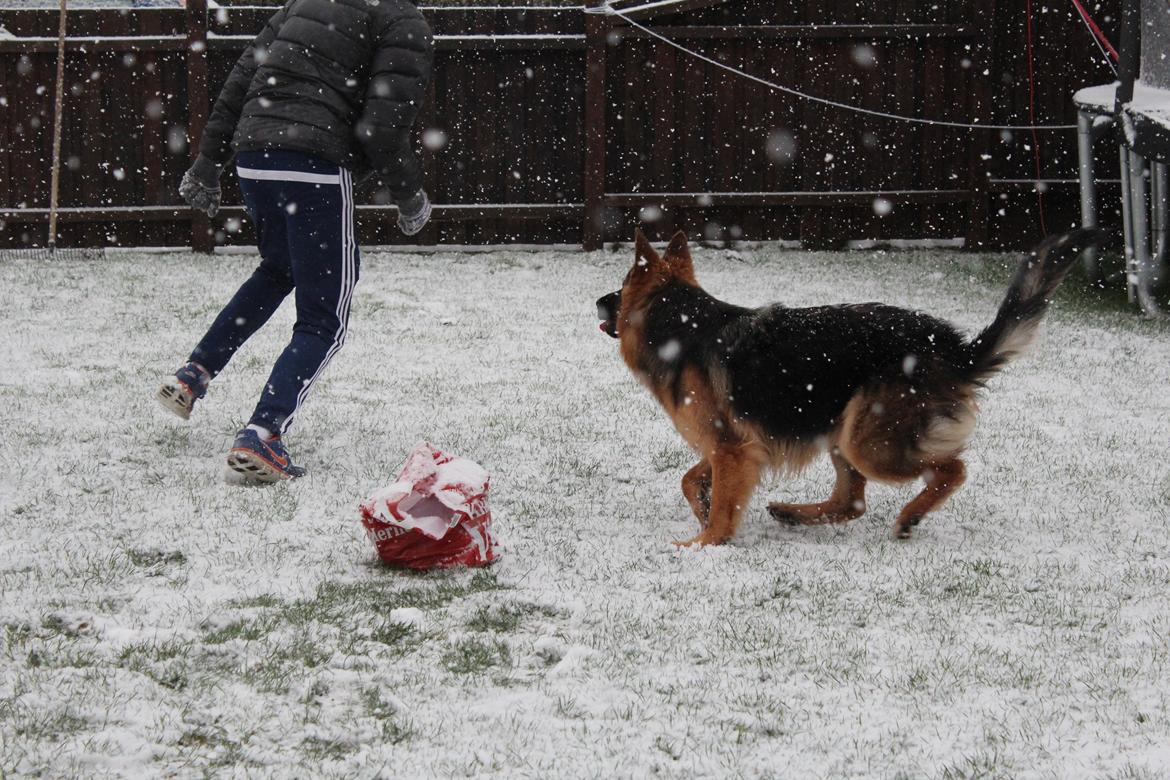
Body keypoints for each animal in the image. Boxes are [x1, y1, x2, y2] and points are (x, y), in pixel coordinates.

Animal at [599, 225, 1099, 547]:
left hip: (868, 442)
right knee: (851, 501)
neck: (679, 325)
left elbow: (720, 506)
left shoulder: (732, 448)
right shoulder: (739, 448)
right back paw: (793, 513)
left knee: (951, 469)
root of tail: (952, 350)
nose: (598, 301)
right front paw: (702, 509)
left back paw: (910, 516)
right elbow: (691, 479)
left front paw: (702, 543)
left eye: (622, 285)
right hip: (842, 432)